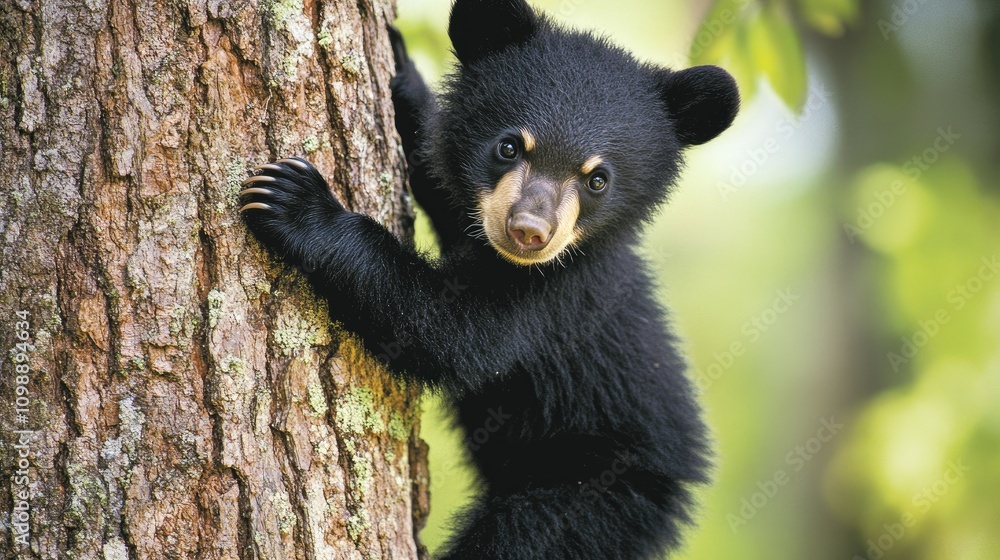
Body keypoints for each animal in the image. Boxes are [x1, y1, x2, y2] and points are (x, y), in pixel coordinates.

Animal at [238, 0, 739, 558]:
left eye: (597, 179)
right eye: (509, 147)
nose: (529, 231)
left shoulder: (554, 295)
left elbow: (451, 332)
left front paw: (295, 202)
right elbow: (436, 174)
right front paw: (404, 73)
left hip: (593, 498)